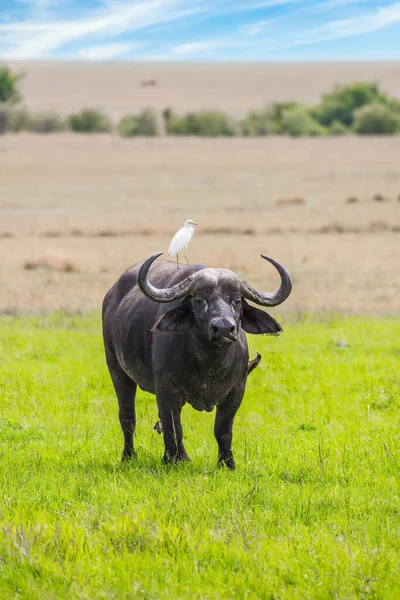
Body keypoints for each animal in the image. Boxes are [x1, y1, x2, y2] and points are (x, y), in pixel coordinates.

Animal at [101, 252, 292, 468]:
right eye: (200, 300)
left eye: (236, 301)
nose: (223, 328)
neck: (208, 365)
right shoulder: (165, 387)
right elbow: (173, 427)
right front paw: (174, 461)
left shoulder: (237, 389)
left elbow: (222, 430)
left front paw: (227, 464)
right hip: (117, 369)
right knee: (128, 417)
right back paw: (129, 457)